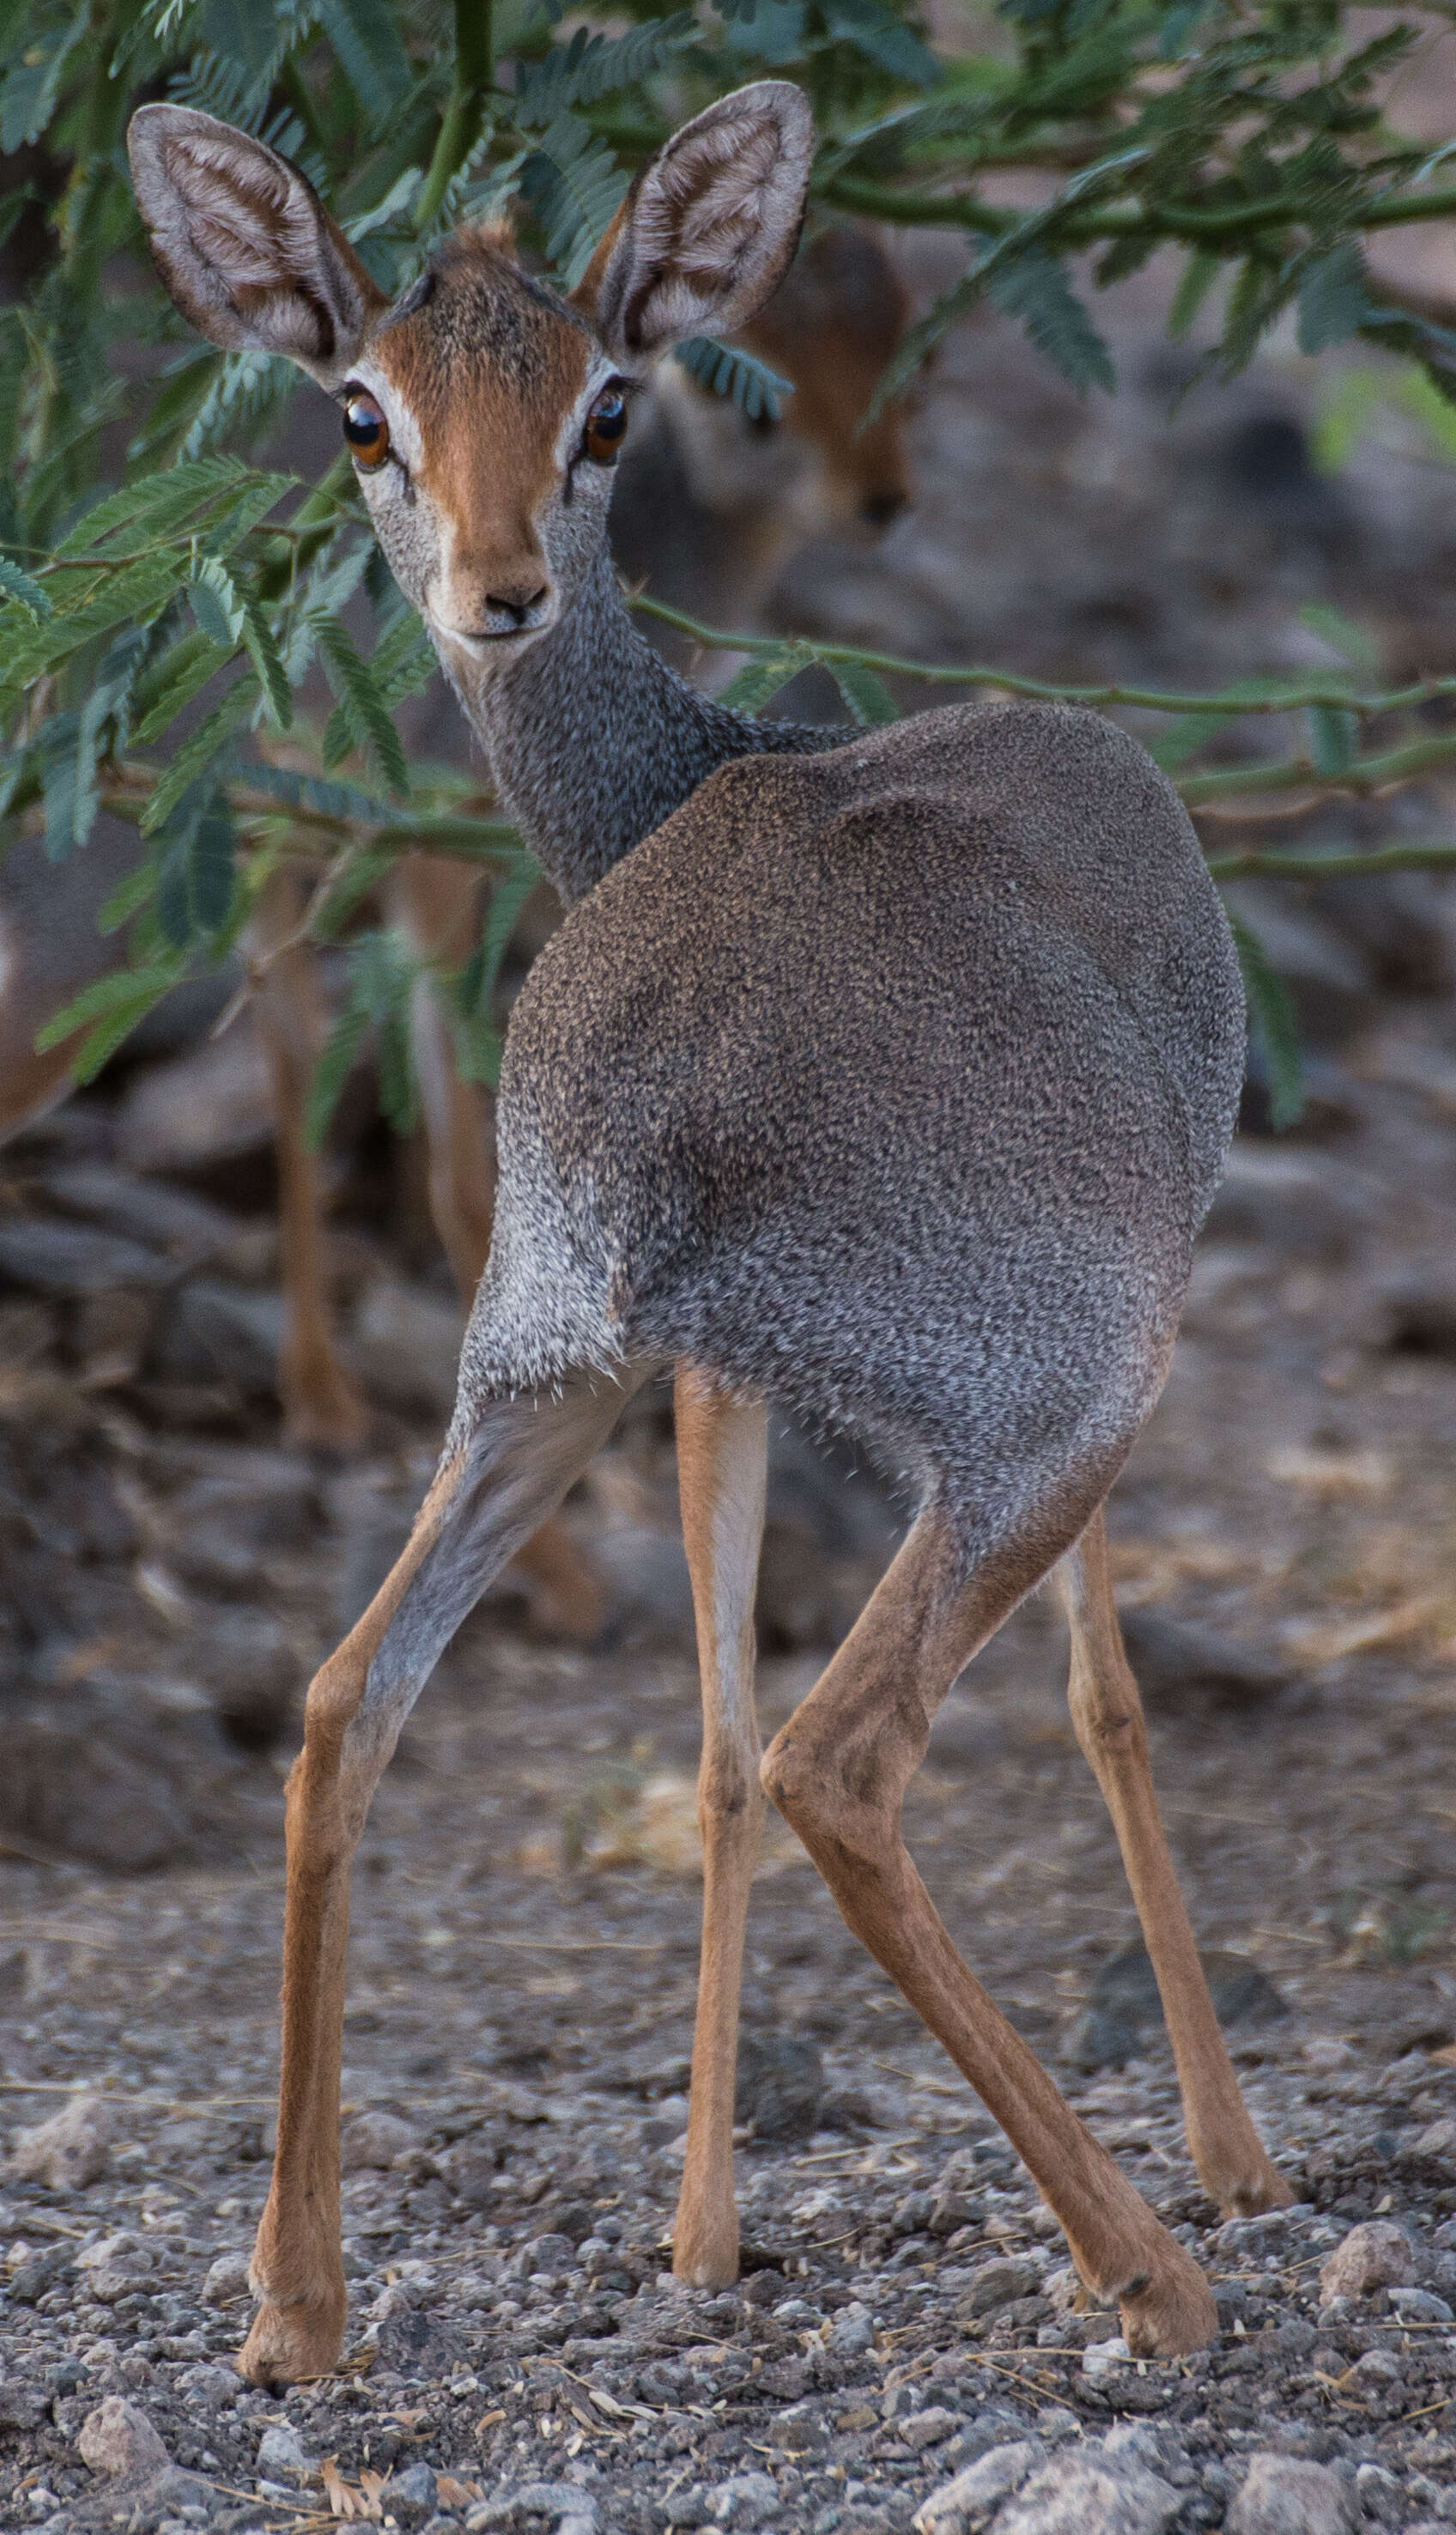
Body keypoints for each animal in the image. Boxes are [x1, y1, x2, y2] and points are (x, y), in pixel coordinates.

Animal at [130, 74, 1291, 2373]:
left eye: (603, 403)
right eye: (361, 410)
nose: (493, 590)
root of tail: (647, 1122)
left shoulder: (691, 1375)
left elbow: (706, 1732)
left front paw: (698, 2225)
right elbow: (1095, 1707)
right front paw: (1228, 2152)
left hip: (538, 1378)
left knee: (347, 1699)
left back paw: (298, 2300)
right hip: (1046, 1403)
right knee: (844, 1754)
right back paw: (1150, 2262)